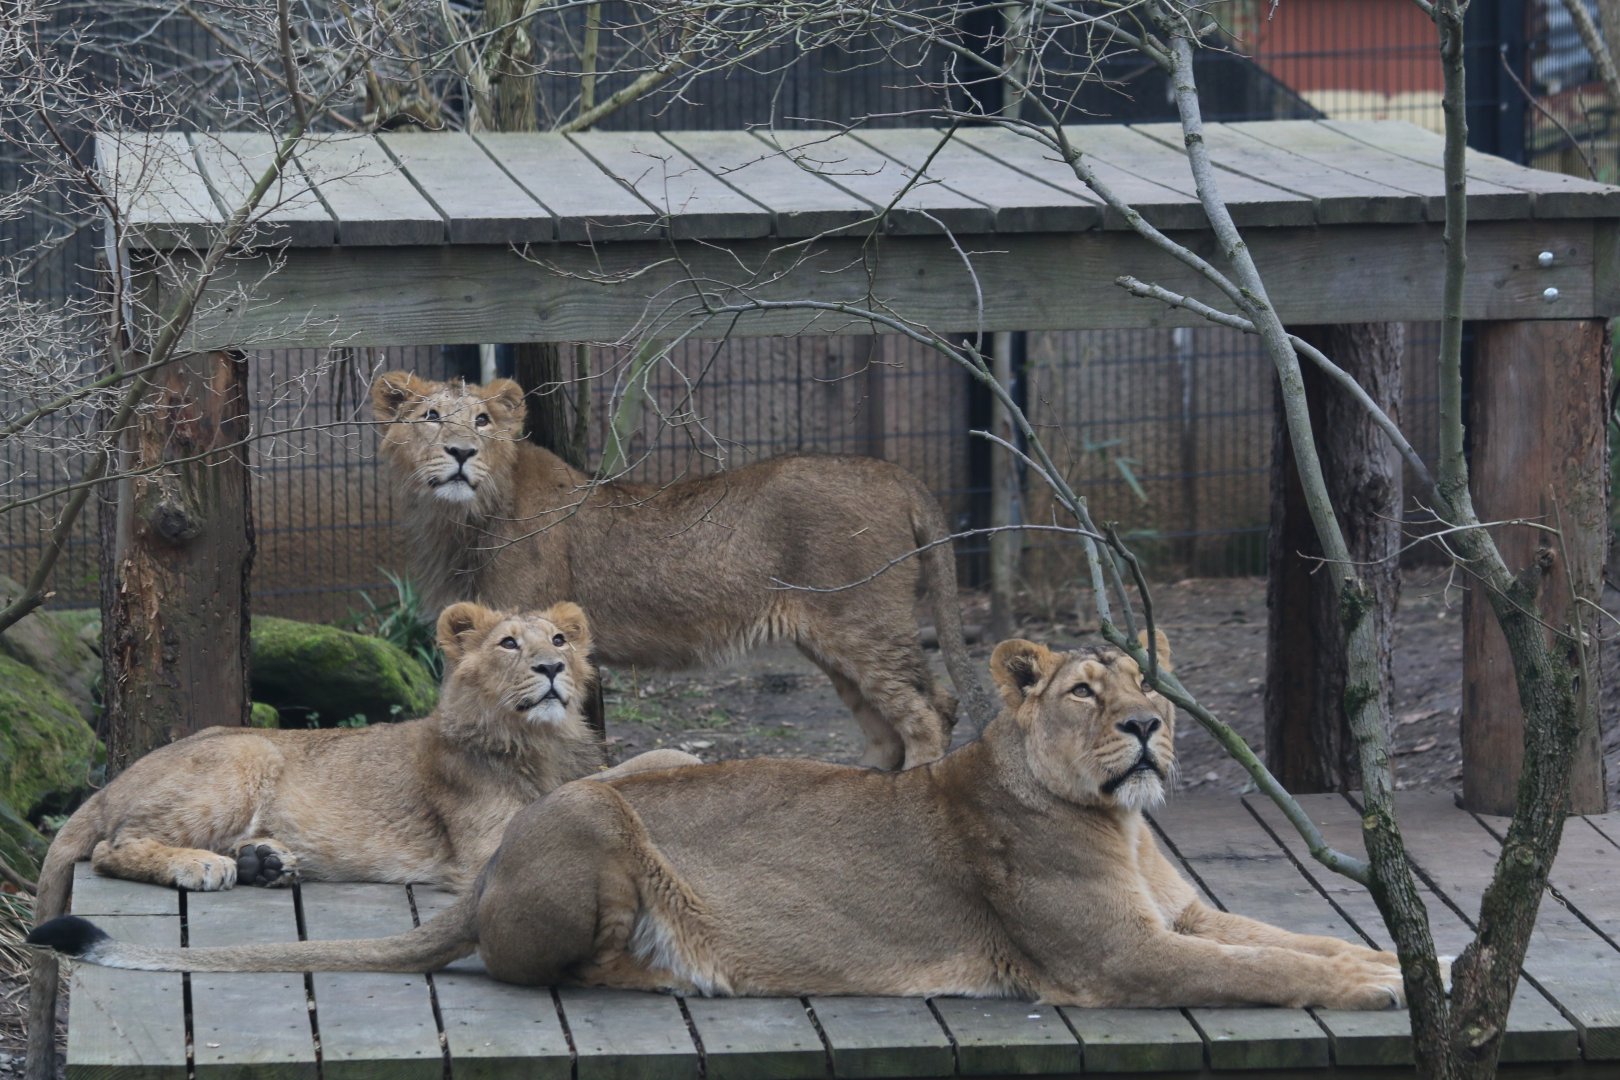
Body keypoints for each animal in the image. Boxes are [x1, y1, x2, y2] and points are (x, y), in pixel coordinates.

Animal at [24, 600, 696, 1080]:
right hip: (249, 750)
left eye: (559, 641)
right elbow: (597, 794)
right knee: (110, 848)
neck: (538, 740)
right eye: (509, 643)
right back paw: (205, 865)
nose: (552, 669)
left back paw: (266, 861)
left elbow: (630, 773)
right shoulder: (491, 843)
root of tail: (114, 781)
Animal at [30, 630, 1410, 1011]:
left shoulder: (1185, 915)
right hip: (603, 834)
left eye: (1144, 683)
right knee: (552, 968)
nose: (1149, 729)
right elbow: (1269, 975)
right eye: (1085, 692)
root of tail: (495, 870)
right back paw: (678, 973)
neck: (1121, 822)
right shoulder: (1119, 959)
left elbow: (1293, 943)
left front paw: (1402, 958)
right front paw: (1384, 987)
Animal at [370, 370, 990, 772]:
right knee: (890, 726)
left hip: (863, 622)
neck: (459, 520)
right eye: (429, 417)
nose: (461, 453)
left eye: (481, 421)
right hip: (834, 639)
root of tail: (897, 474)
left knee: (929, 713)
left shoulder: (539, 633)